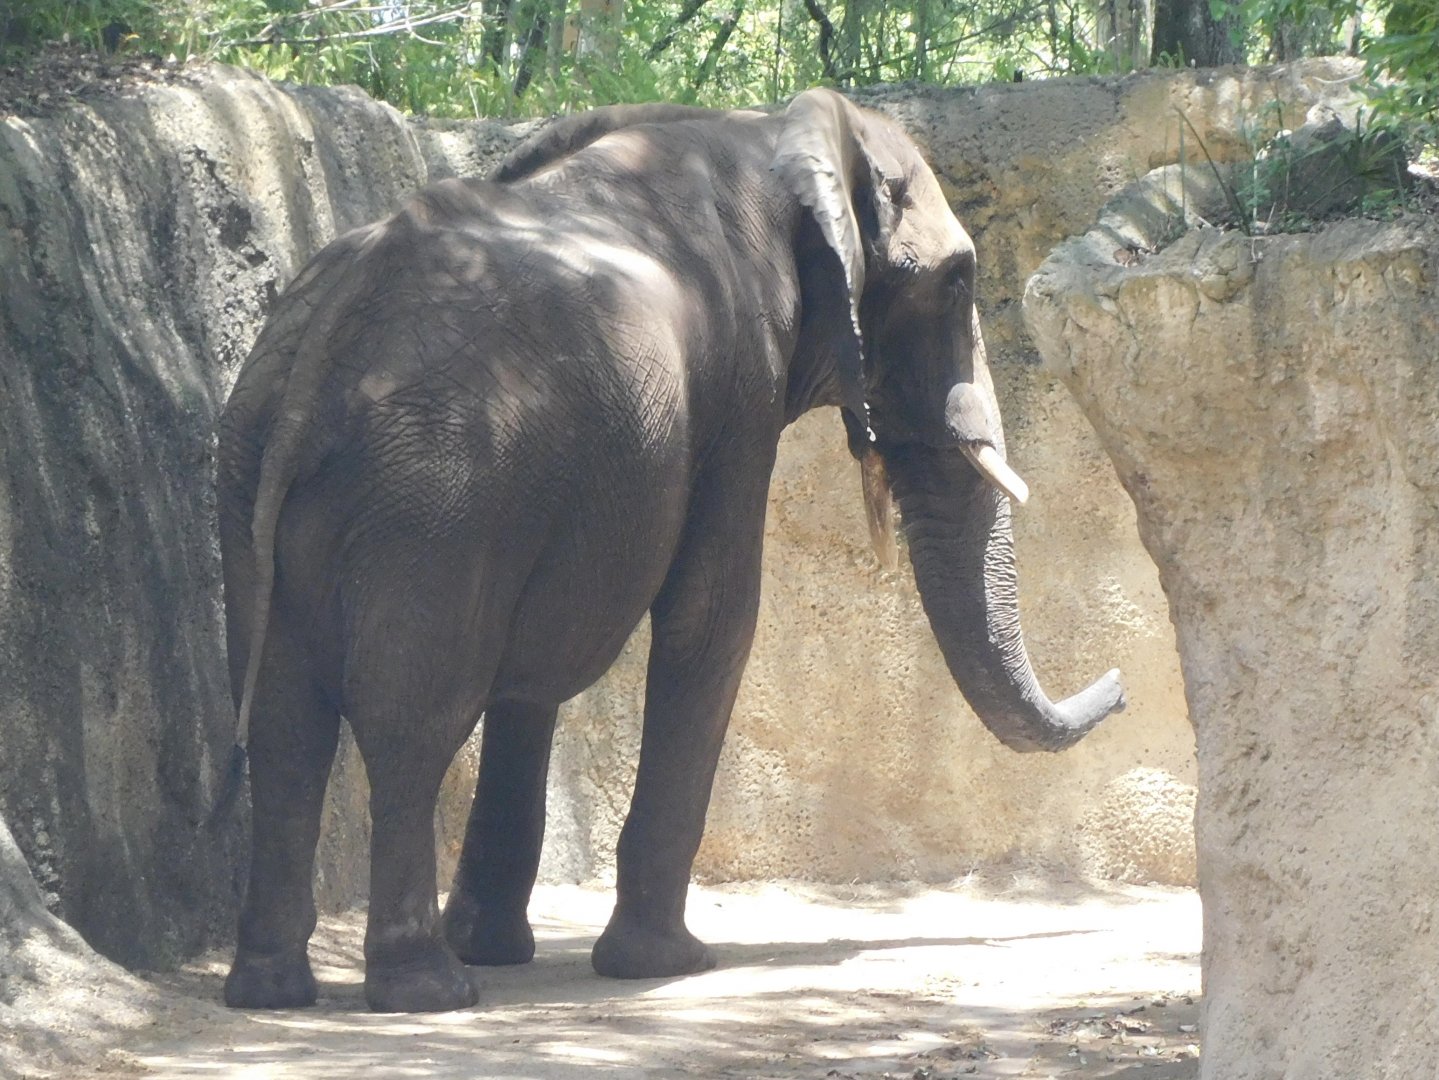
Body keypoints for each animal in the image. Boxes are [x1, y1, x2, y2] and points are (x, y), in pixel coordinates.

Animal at [217, 88, 1126, 1014]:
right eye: (958, 281)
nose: (1120, 683)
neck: (772, 131)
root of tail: (321, 346)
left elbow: (538, 667)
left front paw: (501, 949)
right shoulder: (740, 377)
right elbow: (715, 611)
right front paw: (669, 963)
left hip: (269, 471)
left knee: (286, 722)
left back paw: (271, 990)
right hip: (437, 488)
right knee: (409, 719)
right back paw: (426, 991)